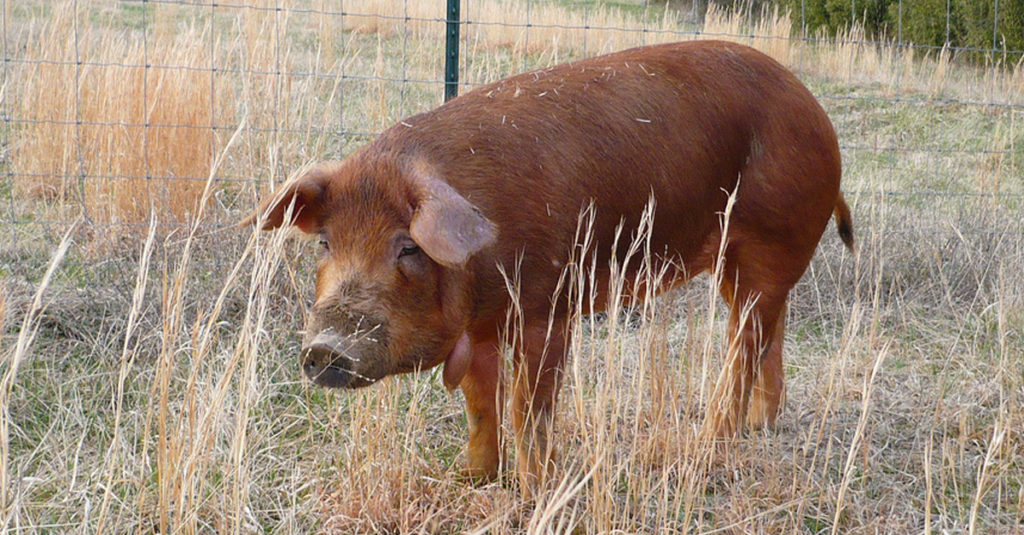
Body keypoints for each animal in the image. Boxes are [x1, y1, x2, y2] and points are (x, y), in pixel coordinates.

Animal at [243, 40, 854, 486]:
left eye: (407, 246)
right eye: (325, 242)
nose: (326, 348)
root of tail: (818, 113)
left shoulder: (547, 306)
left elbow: (527, 407)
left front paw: (536, 488)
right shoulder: (482, 326)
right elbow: (480, 405)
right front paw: (475, 479)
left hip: (771, 238)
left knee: (744, 344)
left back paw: (710, 445)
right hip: (737, 261)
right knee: (770, 330)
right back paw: (761, 425)